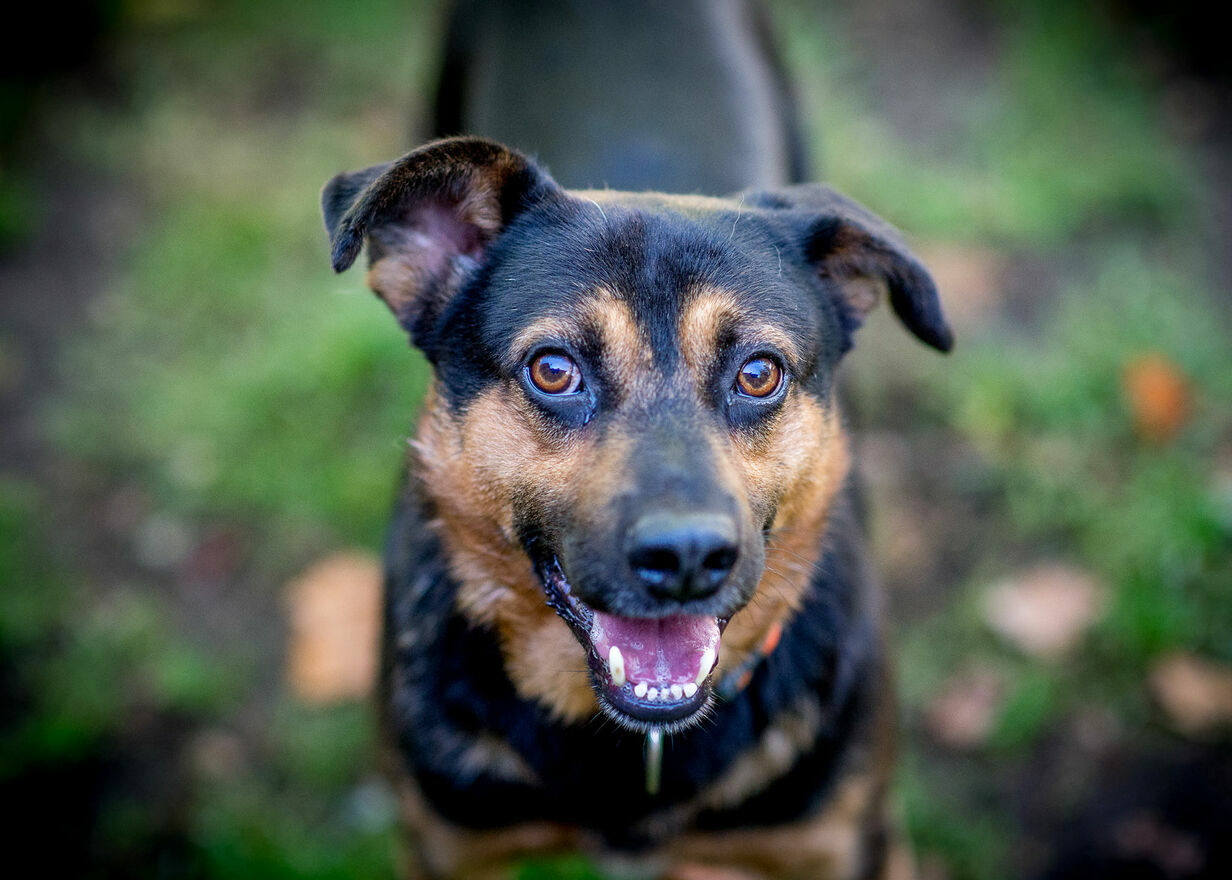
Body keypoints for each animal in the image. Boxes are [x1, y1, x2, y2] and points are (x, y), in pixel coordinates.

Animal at [320, 4, 951, 878]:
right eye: (553, 370)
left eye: (760, 374)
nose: (686, 558)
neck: (628, 747)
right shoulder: (446, 843)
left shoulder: (844, 842)